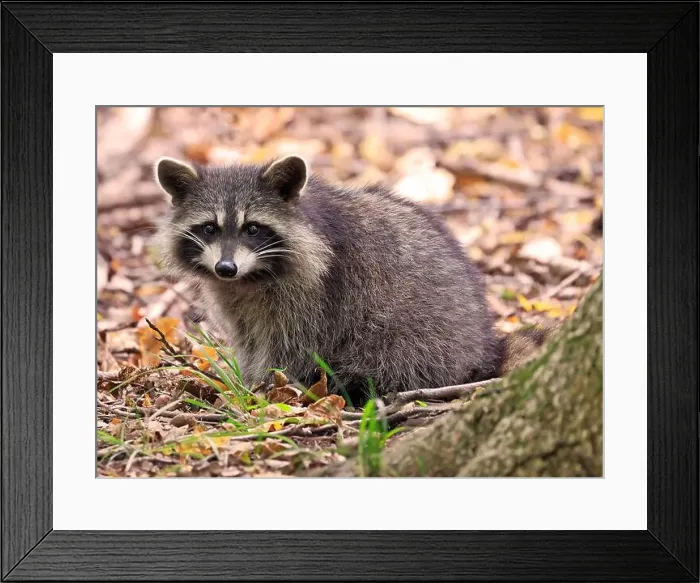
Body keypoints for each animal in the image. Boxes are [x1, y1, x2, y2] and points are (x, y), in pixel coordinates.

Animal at [153, 155, 540, 402]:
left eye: (252, 228)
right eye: (209, 228)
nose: (225, 267)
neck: (252, 277)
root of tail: (485, 351)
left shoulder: (315, 293)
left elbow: (292, 344)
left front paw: (265, 386)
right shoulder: (233, 295)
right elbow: (248, 337)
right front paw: (248, 379)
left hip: (421, 338)